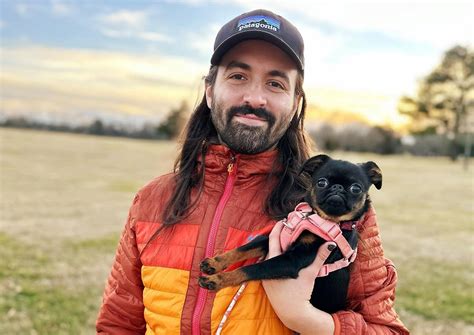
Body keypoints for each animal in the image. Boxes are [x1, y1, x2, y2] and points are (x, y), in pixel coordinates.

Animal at [197, 155, 382, 316]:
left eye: (356, 188)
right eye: (321, 182)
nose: (337, 188)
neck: (317, 218)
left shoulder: (291, 260)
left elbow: (250, 269)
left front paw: (216, 280)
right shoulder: (270, 238)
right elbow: (242, 250)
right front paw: (215, 263)